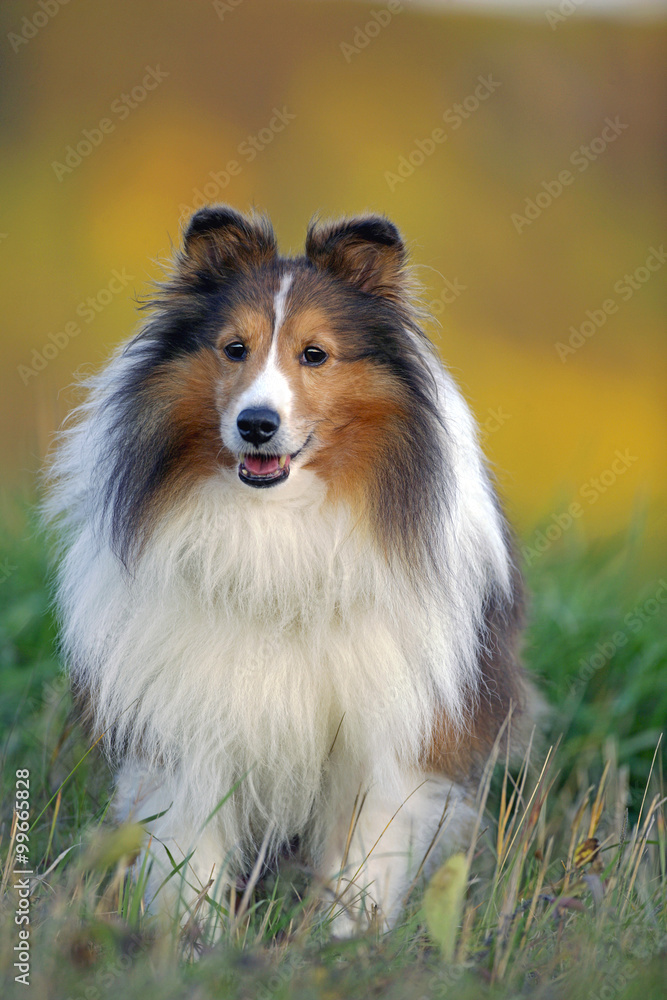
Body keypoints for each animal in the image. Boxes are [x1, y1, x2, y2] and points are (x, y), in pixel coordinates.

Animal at [44, 207, 528, 932]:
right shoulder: (193, 729)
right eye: (233, 348)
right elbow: (192, 855)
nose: (257, 425)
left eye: (314, 354)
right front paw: (192, 940)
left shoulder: (384, 740)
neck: (276, 528)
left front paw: (341, 943)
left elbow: (361, 865)